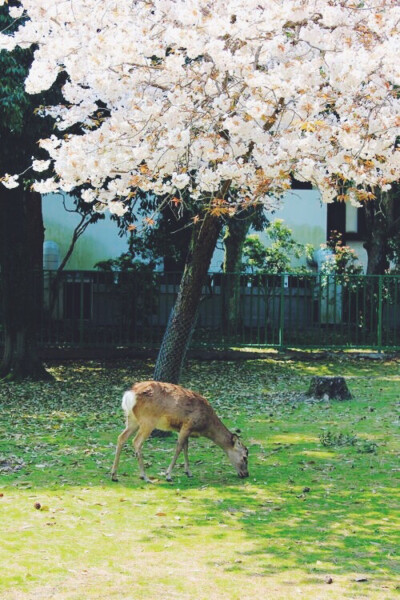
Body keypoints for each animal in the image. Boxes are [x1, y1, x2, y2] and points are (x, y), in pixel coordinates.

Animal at [111, 380, 248, 482]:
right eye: (245, 457)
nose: (246, 474)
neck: (205, 425)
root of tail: (130, 394)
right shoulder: (188, 425)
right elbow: (179, 447)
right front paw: (168, 475)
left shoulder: (183, 429)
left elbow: (185, 447)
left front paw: (188, 472)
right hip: (148, 420)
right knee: (136, 442)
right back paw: (144, 476)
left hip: (132, 419)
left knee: (121, 437)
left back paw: (114, 475)